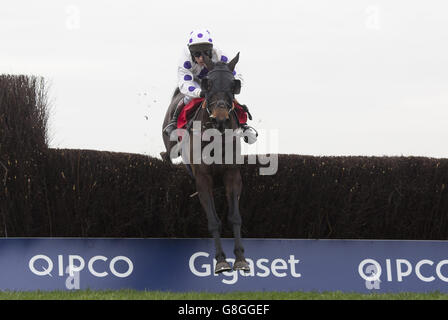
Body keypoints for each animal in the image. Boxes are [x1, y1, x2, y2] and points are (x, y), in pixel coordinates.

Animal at [162, 52, 252, 272]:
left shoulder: (232, 174)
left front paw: (240, 258)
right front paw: (220, 261)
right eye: (208, 84)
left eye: (233, 85)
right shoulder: (202, 177)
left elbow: (235, 217)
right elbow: (213, 220)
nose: (220, 118)